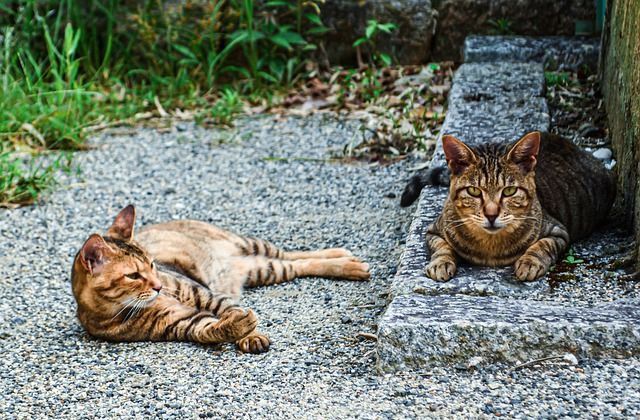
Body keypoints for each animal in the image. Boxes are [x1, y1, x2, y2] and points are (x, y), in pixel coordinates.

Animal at [71, 205, 370, 352]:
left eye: (153, 265)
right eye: (133, 275)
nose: (158, 286)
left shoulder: (202, 292)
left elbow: (228, 306)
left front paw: (251, 333)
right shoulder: (181, 323)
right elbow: (210, 328)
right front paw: (238, 328)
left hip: (252, 246)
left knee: (295, 254)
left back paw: (346, 259)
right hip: (264, 269)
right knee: (296, 264)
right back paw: (349, 262)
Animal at [420, 131, 616, 282]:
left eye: (509, 191)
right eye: (474, 191)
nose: (491, 214)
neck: (490, 247)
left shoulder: (558, 231)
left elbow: (543, 245)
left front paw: (530, 262)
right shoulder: (433, 229)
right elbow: (441, 246)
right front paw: (440, 262)